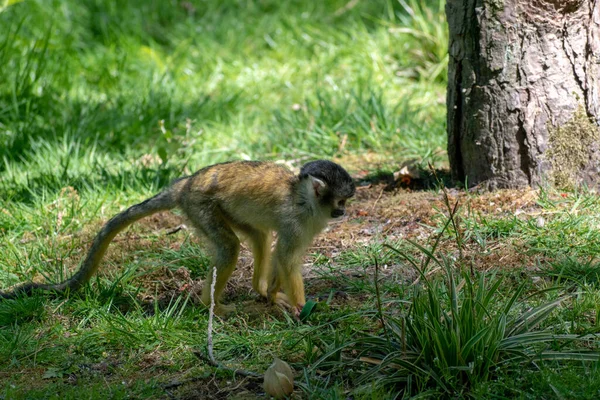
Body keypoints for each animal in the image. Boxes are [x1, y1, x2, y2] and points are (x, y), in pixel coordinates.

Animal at [0, 160, 356, 316]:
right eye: (340, 200)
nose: (342, 213)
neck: (304, 199)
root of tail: (185, 184)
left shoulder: (309, 223)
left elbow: (285, 254)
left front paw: (272, 294)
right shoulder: (297, 219)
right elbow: (286, 256)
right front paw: (300, 306)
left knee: (256, 234)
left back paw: (257, 288)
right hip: (200, 205)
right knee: (229, 247)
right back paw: (211, 306)